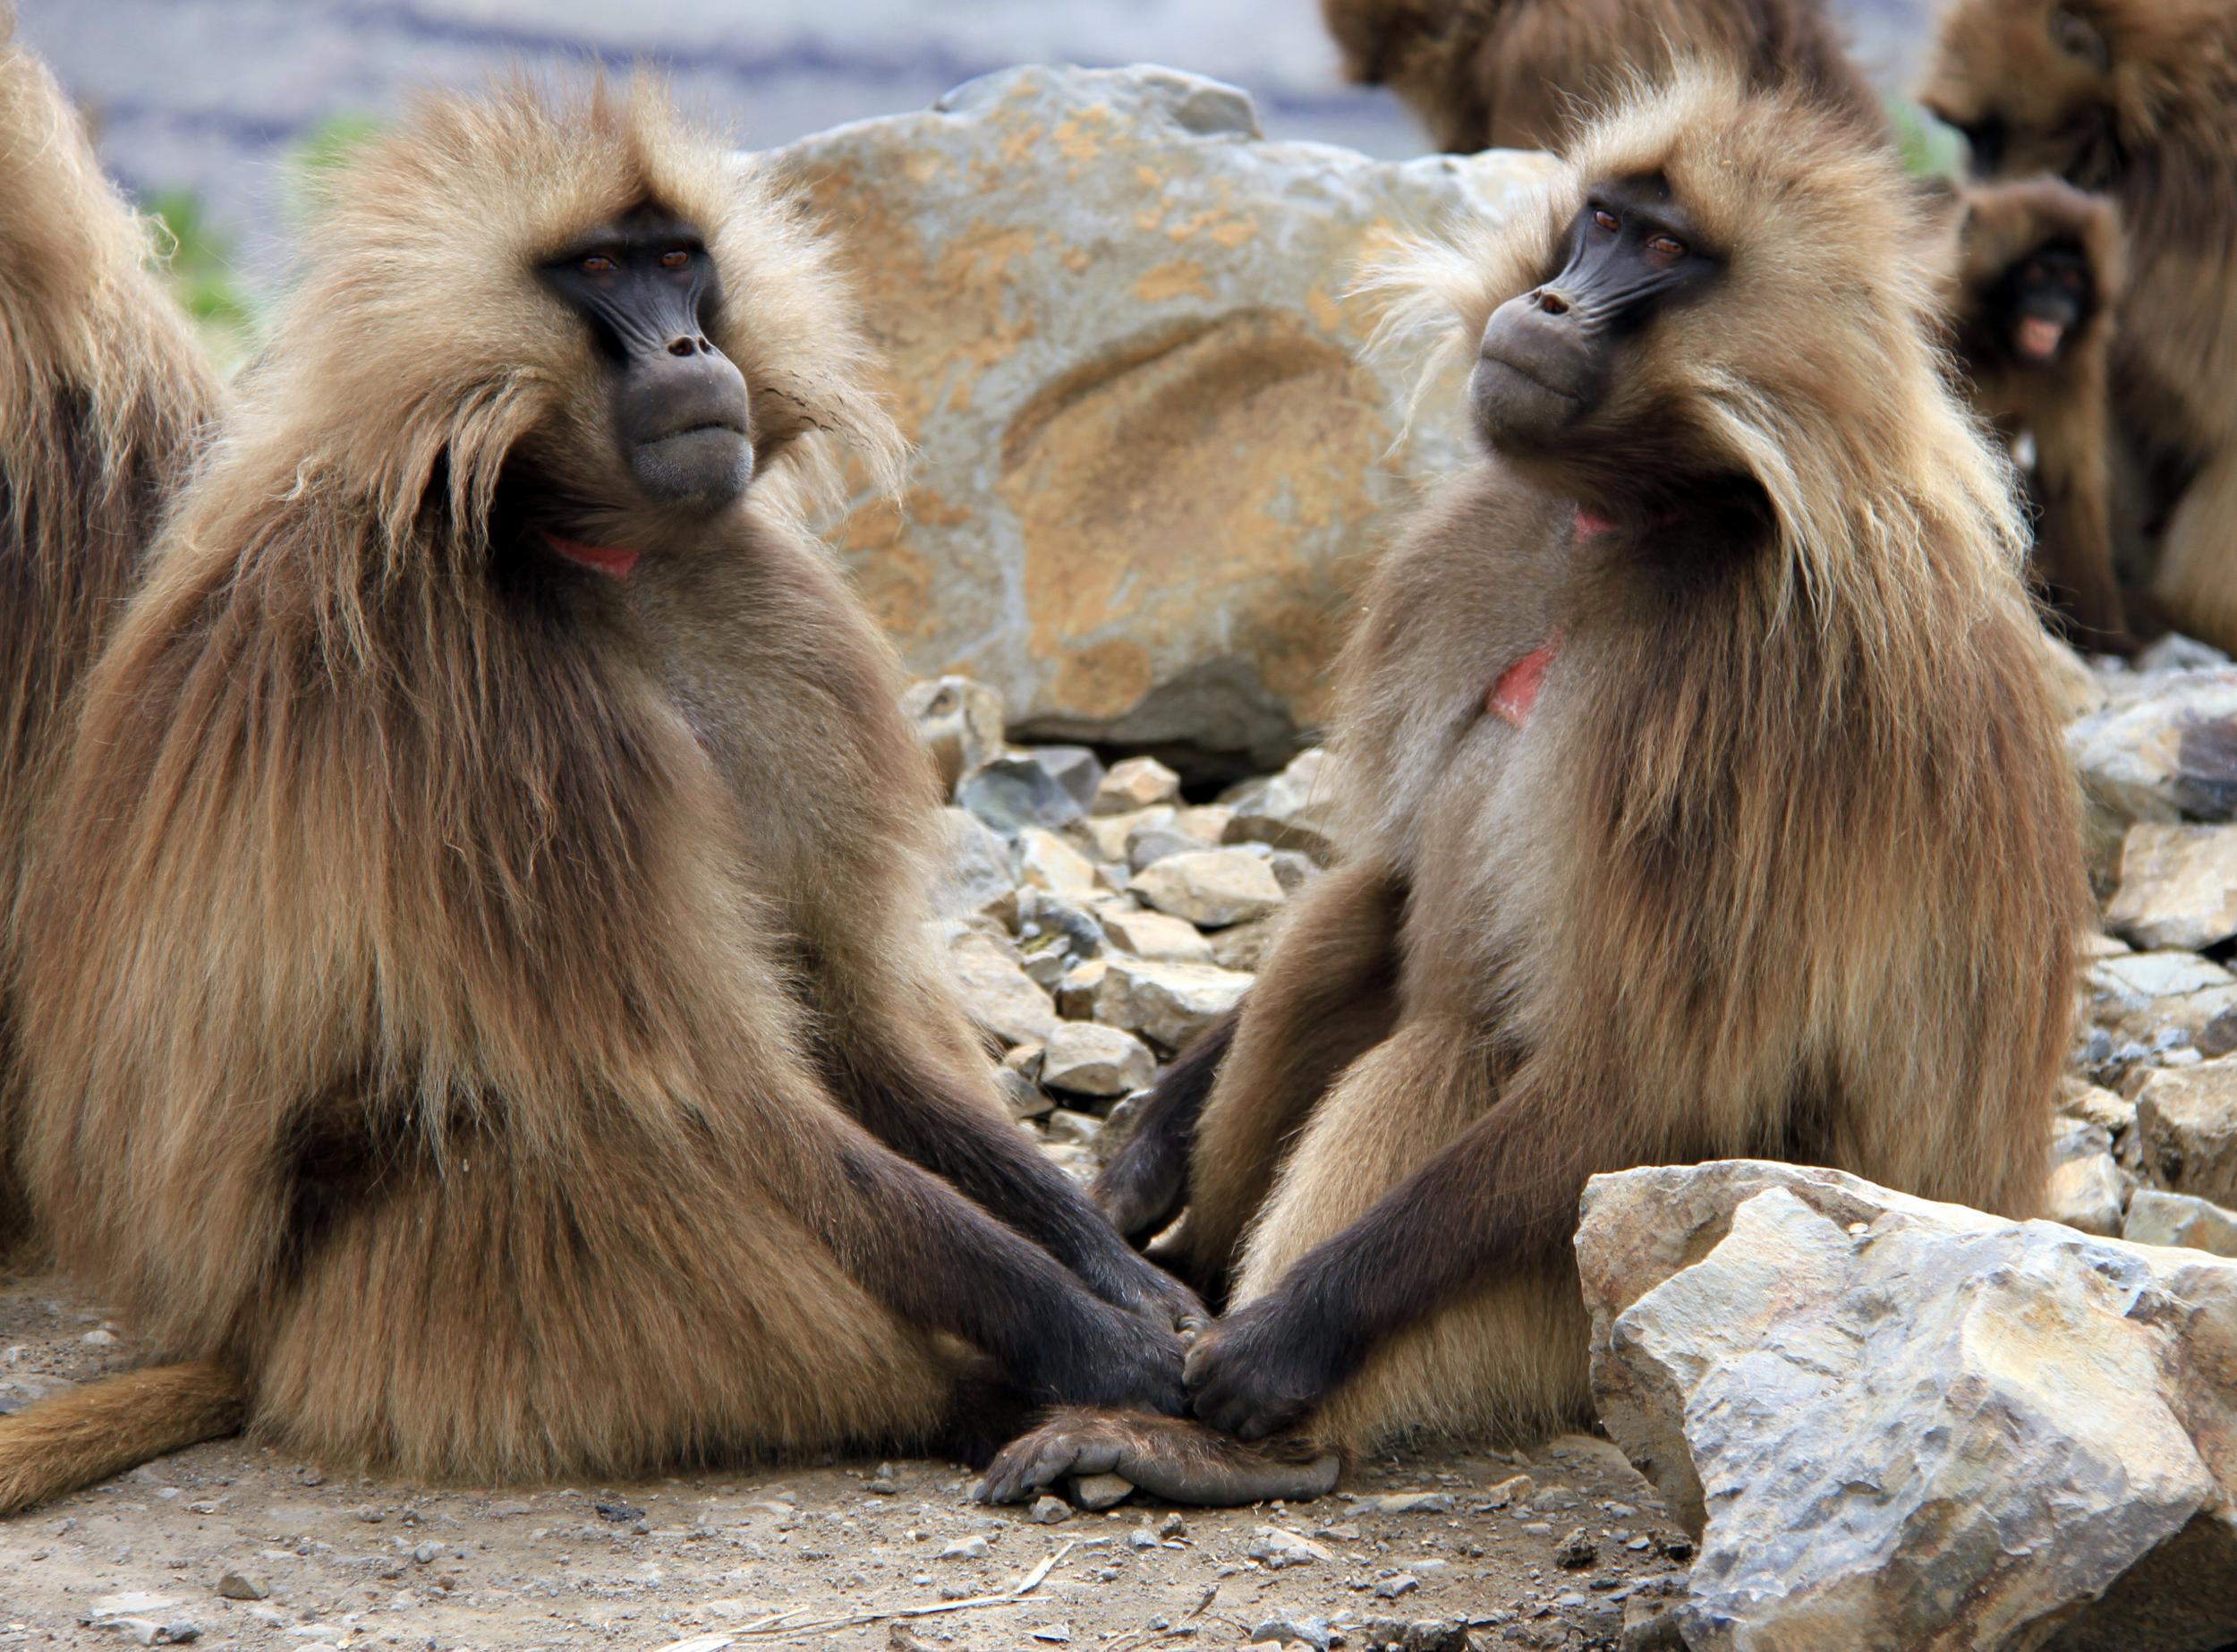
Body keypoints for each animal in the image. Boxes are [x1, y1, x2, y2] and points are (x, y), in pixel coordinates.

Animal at [0, 83, 1208, 1512]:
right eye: (596, 271)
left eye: (678, 256)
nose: (688, 343)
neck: (589, 548)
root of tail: (234, 1333)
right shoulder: (500, 727)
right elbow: (721, 1093)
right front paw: (1103, 1341)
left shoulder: (766, 621)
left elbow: (847, 1012)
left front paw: (1126, 1273)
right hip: (372, 1296)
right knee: (579, 1138)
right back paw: (1011, 1403)